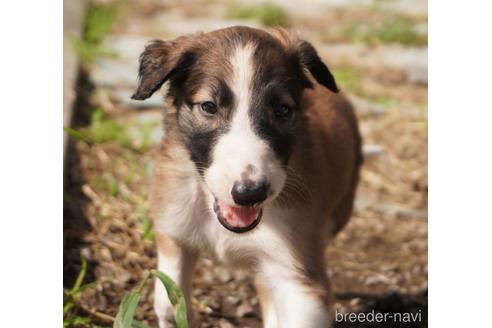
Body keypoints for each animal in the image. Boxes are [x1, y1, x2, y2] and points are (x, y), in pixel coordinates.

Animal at [133, 26, 364, 328]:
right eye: (209, 106)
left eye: (282, 110)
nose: (250, 193)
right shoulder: (174, 229)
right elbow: (169, 304)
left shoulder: (297, 276)